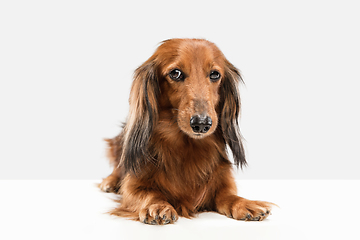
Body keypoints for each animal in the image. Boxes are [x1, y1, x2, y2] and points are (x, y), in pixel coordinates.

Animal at [100, 38, 274, 224]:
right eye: (175, 73)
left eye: (215, 74)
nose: (202, 123)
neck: (188, 147)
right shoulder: (134, 183)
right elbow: (148, 194)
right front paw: (157, 205)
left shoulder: (223, 181)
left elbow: (229, 195)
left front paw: (246, 203)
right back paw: (109, 182)